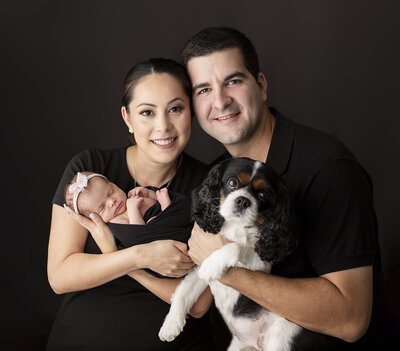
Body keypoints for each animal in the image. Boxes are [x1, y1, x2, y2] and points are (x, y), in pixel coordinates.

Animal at [159, 158, 332, 350]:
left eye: (263, 195)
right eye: (232, 183)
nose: (242, 200)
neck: (237, 226)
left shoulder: (263, 263)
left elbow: (237, 248)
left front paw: (213, 265)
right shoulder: (199, 261)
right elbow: (184, 291)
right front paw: (171, 325)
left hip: (285, 335)